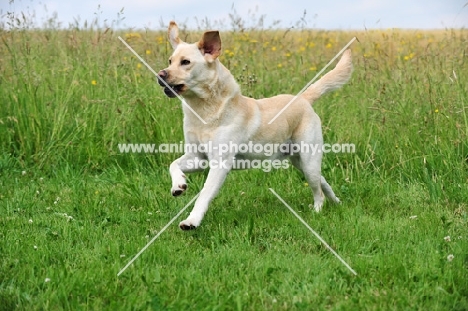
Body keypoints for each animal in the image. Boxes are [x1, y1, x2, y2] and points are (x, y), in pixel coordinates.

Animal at [156, 20, 352, 230]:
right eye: (170, 61)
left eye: (185, 62)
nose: (159, 76)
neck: (204, 112)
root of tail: (302, 99)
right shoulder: (198, 158)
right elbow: (173, 164)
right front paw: (178, 185)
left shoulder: (220, 163)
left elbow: (204, 194)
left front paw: (191, 221)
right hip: (300, 162)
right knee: (323, 181)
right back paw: (337, 202)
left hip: (308, 160)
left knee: (318, 191)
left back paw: (317, 211)